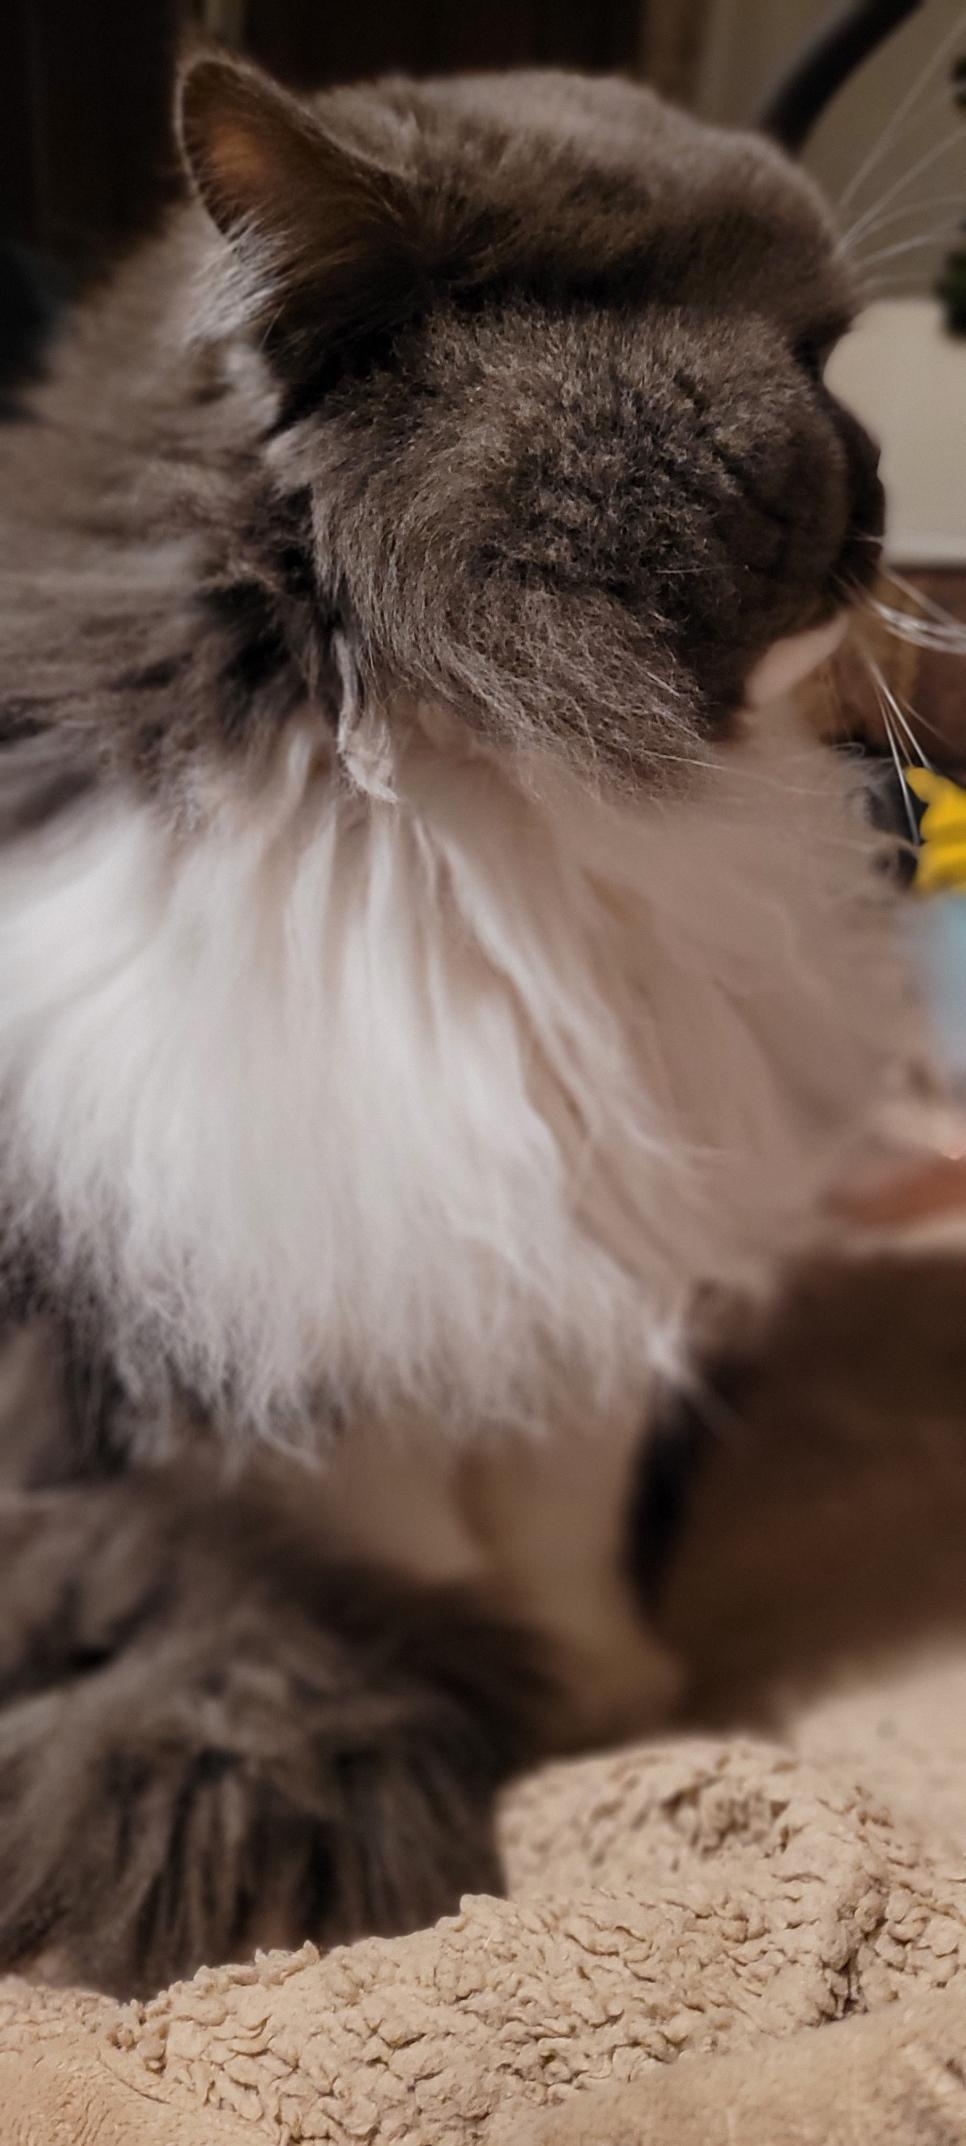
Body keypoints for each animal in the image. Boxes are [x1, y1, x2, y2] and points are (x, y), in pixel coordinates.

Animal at [0, 50, 914, 1991]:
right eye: (807, 360)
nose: (884, 466)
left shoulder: (575, 1255)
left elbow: (560, 1538)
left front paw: (618, 1701)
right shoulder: (312, 1313)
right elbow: (419, 1570)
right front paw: (548, 1717)